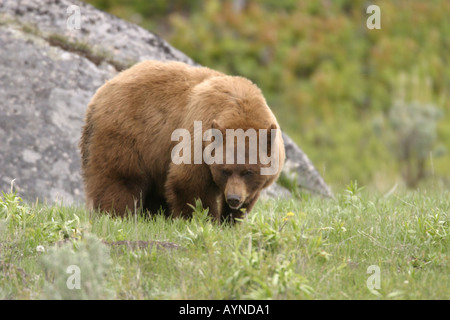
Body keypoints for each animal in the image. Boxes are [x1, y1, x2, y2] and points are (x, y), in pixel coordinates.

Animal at [80, 60, 284, 222]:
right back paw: (115, 215)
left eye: (249, 171)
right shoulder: (199, 134)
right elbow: (188, 181)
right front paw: (204, 220)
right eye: (225, 170)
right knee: (119, 178)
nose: (233, 198)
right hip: (127, 134)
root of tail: (100, 92)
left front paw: (231, 222)